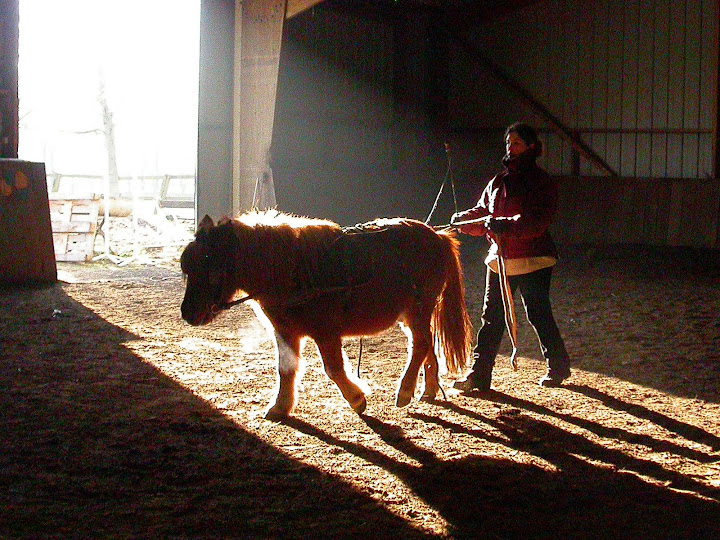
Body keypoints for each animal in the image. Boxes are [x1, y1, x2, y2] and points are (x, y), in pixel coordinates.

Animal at [180, 209, 472, 420]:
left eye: (211, 268)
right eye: (188, 268)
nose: (187, 314)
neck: (292, 271)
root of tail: (437, 237)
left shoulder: (325, 332)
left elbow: (333, 369)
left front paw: (357, 399)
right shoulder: (285, 332)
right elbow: (286, 369)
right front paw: (279, 407)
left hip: (418, 309)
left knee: (421, 344)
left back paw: (405, 391)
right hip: (412, 315)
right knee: (426, 345)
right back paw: (428, 390)